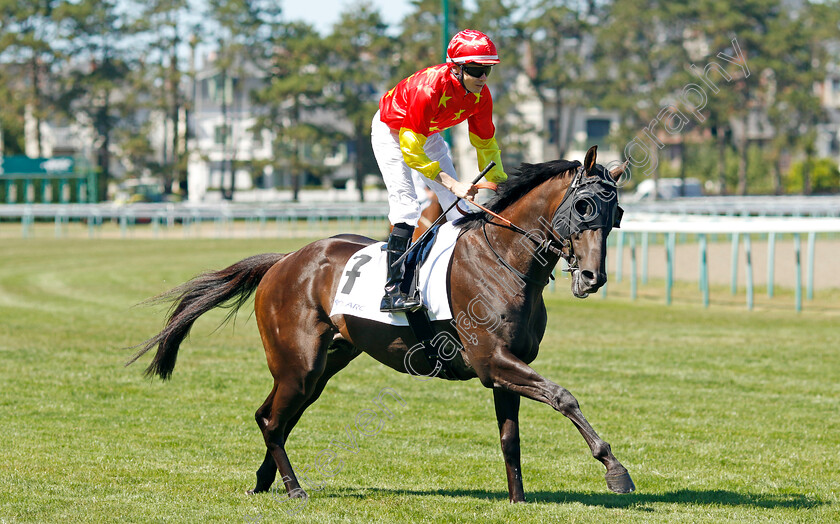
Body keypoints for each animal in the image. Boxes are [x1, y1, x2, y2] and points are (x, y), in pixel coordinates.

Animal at [128, 145, 632, 502]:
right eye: (583, 207)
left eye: (616, 216)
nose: (593, 277)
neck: (505, 261)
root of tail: (284, 260)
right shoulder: (493, 360)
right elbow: (563, 397)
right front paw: (615, 469)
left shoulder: (505, 368)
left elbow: (511, 439)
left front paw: (518, 501)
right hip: (298, 363)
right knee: (273, 420)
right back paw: (294, 488)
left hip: (323, 364)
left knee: (274, 417)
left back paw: (263, 482)